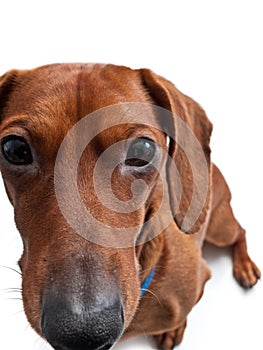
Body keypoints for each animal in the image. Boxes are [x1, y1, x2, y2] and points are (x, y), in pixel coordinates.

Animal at [0, 63, 260, 350]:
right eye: (14, 149)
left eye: (143, 149)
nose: (82, 332)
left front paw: (173, 329)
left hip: (219, 227)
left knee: (240, 232)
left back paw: (245, 266)